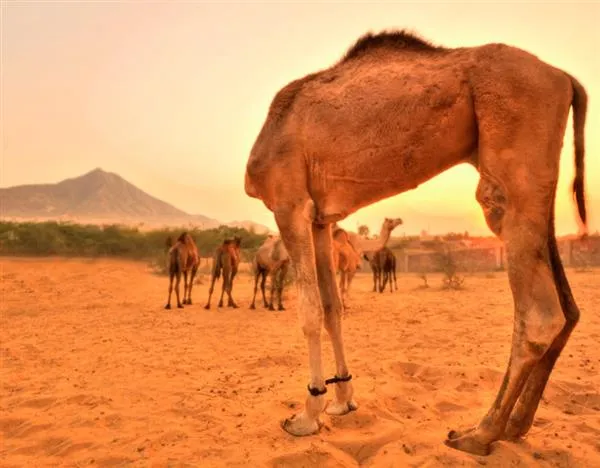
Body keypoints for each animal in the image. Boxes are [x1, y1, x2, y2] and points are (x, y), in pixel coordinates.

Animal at [243, 27, 584, 456]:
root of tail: (565, 79)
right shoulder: (321, 219)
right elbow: (332, 307)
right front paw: (342, 400)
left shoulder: (289, 204)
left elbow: (308, 311)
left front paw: (307, 415)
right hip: (540, 185)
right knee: (568, 308)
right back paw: (515, 427)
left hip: (512, 157)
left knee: (540, 313)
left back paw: (479, 433)